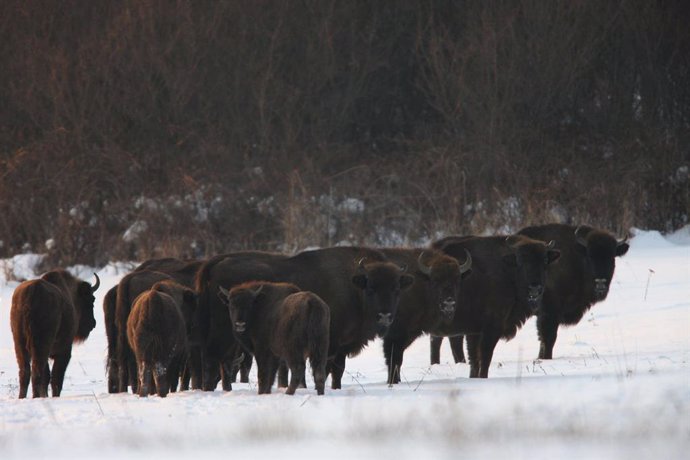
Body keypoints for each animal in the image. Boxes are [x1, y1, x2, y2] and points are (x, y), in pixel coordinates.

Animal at [9, 270, 99, 398]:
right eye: (91, 299)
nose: (93, 323)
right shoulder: (64, 351)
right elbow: (56, 377)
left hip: (20, 344)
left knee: (25, 372)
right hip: (40, 346)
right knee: (37, 372)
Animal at [194, 248, 412, 392]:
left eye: (396, 289)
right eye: (371, 288)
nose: (385, 316)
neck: (353, 286)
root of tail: (215, 263)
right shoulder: (334, 344)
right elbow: (333, 369)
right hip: (224, 333)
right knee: (213, 358)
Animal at [376, 248, 472, 384]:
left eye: (457, 280)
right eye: (436, 280)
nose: (449, 303)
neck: (422, 281)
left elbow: (398, 358)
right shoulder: (395, 335)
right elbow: (394, 358)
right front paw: (393, 381)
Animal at [430, 235, 560, 380]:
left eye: (545, 260)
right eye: (520, 261)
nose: (535, 288)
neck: (507, 270)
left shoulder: (474, 332)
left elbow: (474, 358)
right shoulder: (491, 328)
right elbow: (485, 356)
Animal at [516, 223, 628, 360]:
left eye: (612, 257)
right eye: (590, 256)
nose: (601, 282)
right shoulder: (548, 312)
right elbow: (548, 338)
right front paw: (545, 358)